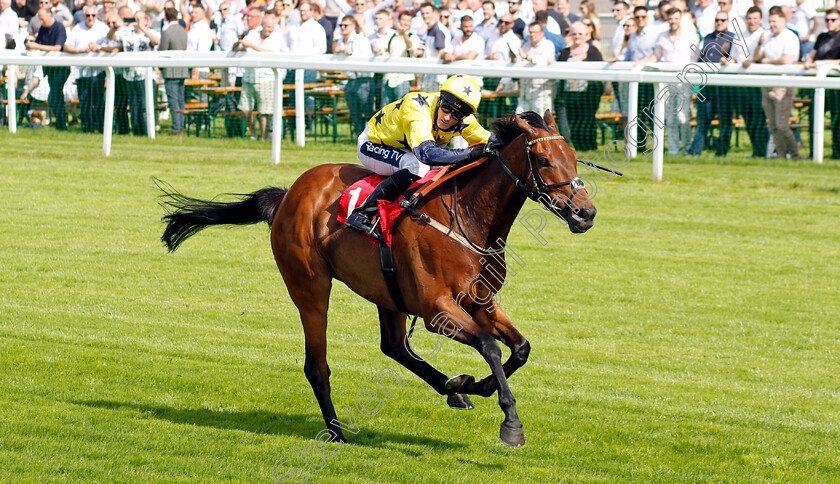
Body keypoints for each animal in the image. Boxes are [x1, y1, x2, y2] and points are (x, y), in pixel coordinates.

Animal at [156, 111, 592, 448]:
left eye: (574, 157)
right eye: (545, 161)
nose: (586, 213)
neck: (468, 218)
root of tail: (289, 194)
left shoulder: (479, 300)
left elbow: (520, 348)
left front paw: (476, 386)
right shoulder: (437, 310)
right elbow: (490, 346)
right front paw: (510, 423)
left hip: (387, 291)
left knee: (395, 346)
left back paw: (455, 390)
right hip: (310, 286)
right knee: (317, 365)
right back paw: (335, 431)